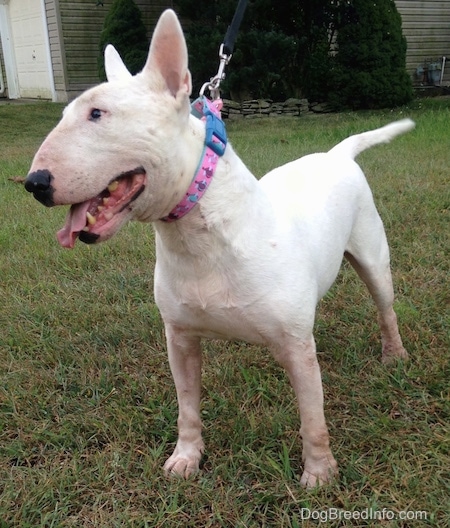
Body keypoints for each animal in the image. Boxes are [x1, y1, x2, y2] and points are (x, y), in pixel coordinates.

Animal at [23, 8, 412, 486]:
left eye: (98, 113)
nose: (34, 184)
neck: (201, 236)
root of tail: (337, 154)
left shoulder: (298, 347)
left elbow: (312, 417)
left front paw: (319, 473)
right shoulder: (180, 338)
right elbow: (187, 404)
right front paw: (186, 458)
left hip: (373, 256)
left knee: (385, 305)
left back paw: (394, 355)